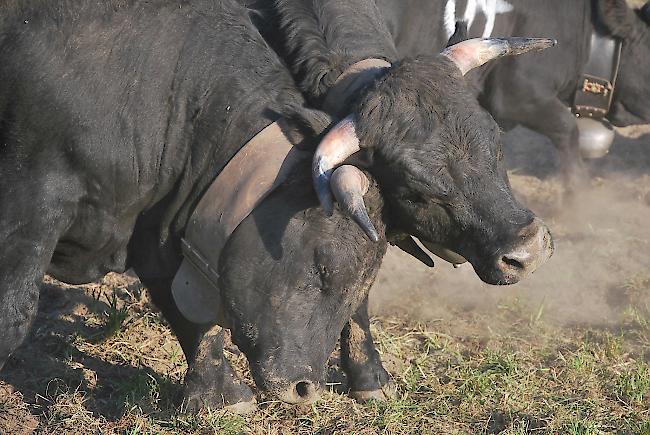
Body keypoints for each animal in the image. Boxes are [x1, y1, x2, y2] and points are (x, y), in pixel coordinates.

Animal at [0, 0, 552, 416]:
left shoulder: (162, 216)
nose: (528, 251)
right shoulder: (32, 204)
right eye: (416, 186)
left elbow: (188, 303)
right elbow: (14, 318)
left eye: (495, 145)